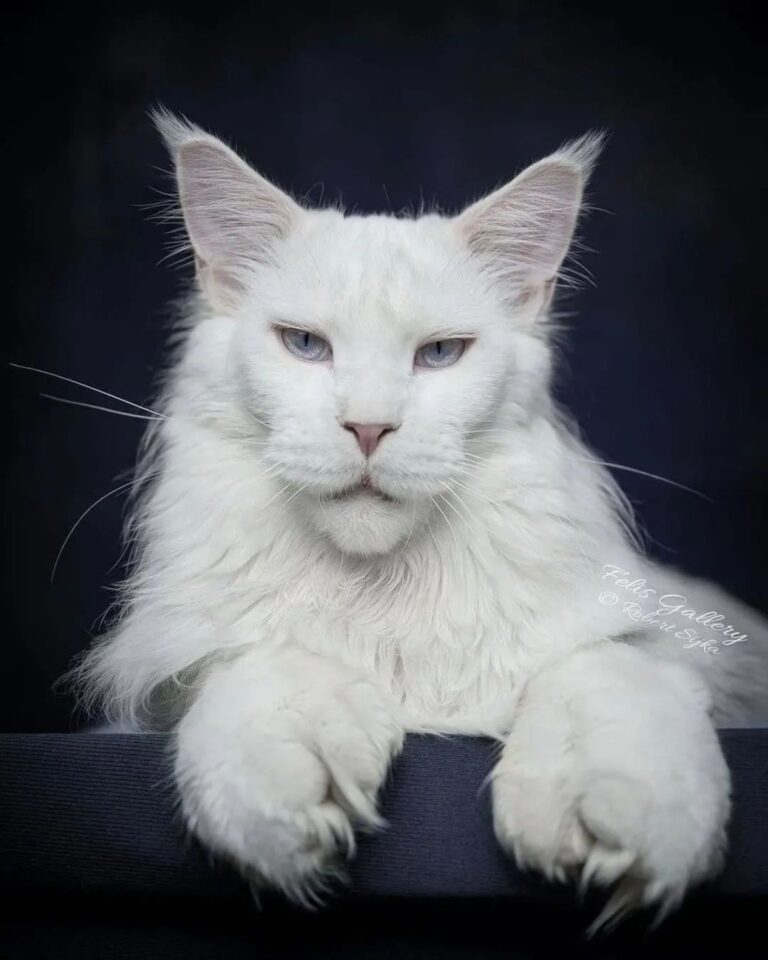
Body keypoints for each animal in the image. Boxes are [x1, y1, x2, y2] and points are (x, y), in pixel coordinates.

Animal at [76, 110, 768, 924]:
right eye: (305, 345)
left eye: (440, 354)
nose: (369, 429)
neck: (387, 593)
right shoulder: (170, 679)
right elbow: (263, 665)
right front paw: (283, 802)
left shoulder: (658, 641)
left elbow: (607, 672)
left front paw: (620, 819)